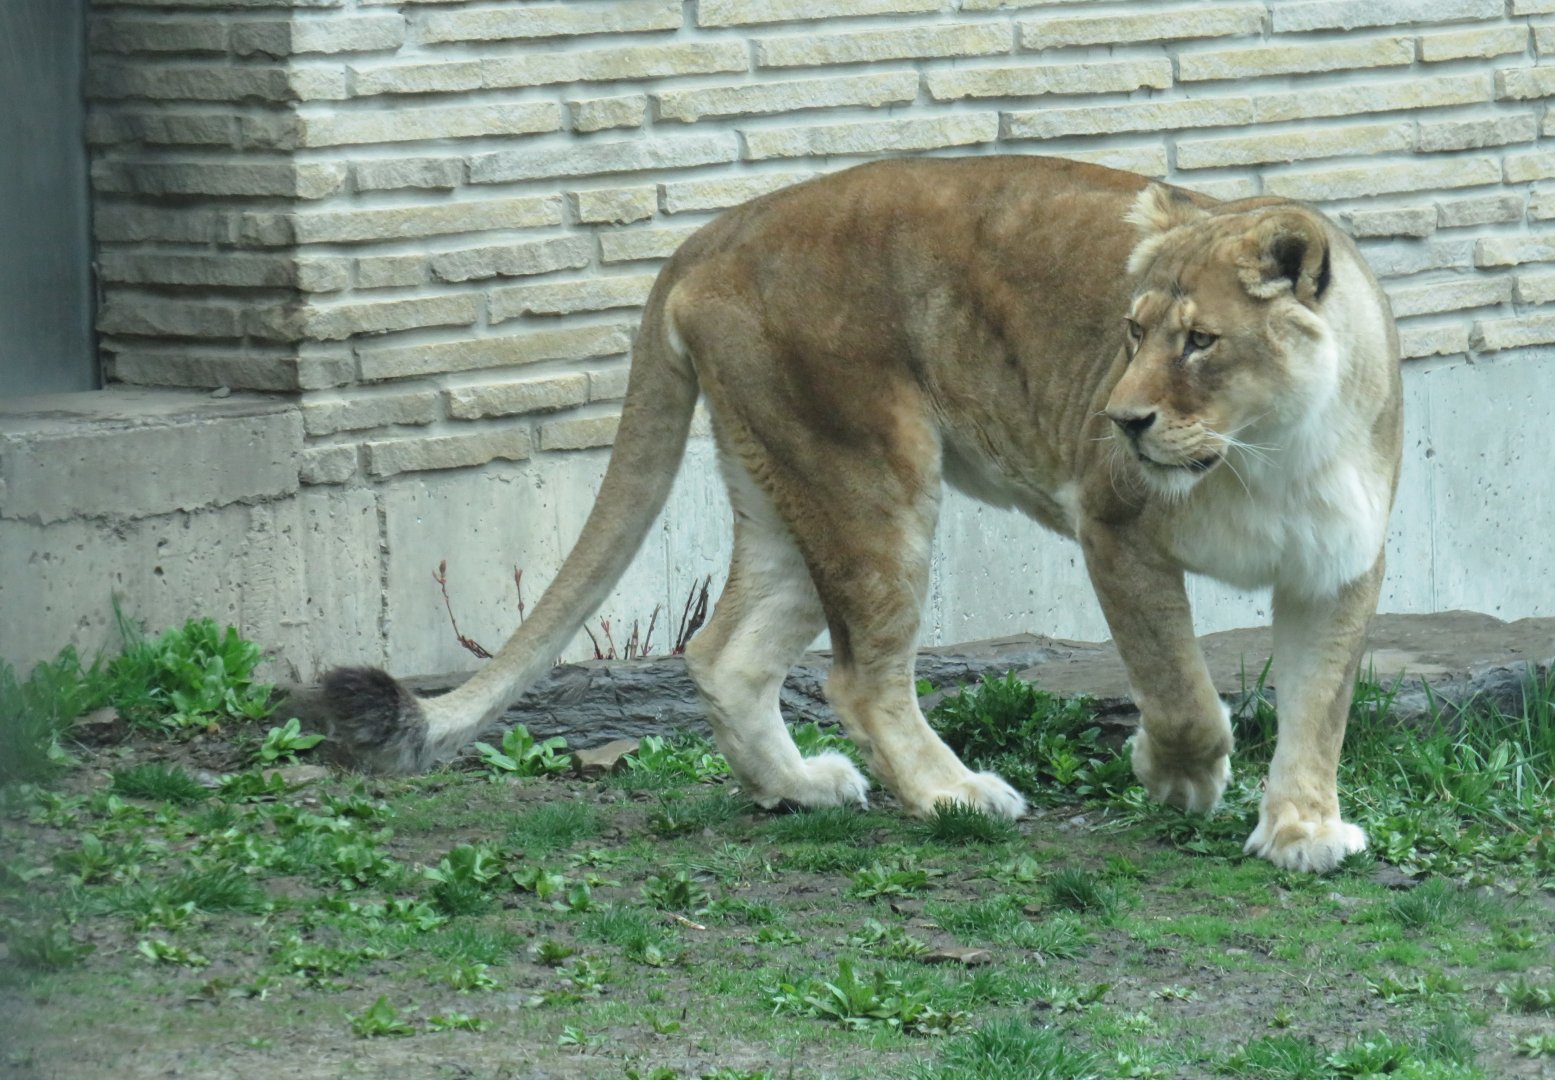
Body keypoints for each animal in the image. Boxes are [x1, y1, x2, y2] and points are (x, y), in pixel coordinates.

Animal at [302, 155, 1402, 874]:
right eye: (1131, 332)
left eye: (1201, 340)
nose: (1120, 418)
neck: (1269, 446)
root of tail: (707, 235)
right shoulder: (1113, 525)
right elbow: (1183, 692)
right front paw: (1176, 781)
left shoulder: (1339, 567)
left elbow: (1318, 708)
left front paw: (1303, 831)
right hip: (872, 480)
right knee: (860, 676)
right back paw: (954, 796)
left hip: (790, 487)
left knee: (723, 653)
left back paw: (796, 788)